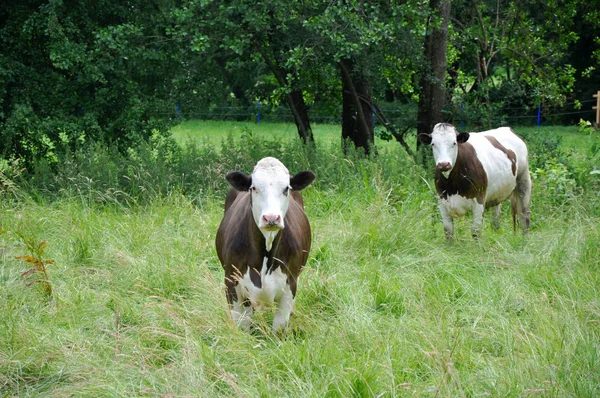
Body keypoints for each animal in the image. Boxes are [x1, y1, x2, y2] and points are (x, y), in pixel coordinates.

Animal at [214, 156, 316, 332]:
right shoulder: (231, 283)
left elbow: (280, 327)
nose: (271, 218)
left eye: (286, 189)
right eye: (254, 188)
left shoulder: (290, 284)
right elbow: (242, 325)